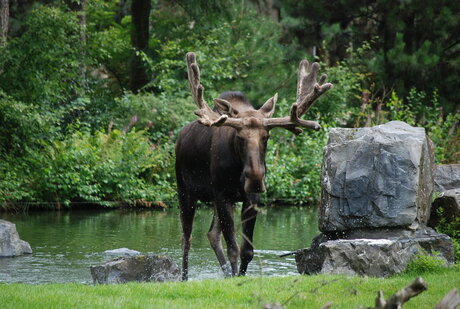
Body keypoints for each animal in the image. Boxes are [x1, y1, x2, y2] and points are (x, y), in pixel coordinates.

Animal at [175, 52, 330, 280]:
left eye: (266, 137)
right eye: (239, 137)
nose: (255, 178)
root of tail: (180, 137)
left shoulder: (250, 198)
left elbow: (246, 250)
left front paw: (239, 276)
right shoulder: (222, 194)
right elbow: (233, 248)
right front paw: (234, 277)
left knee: (211, 234)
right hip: (185, 189)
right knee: (187, 238)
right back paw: (185, 278)